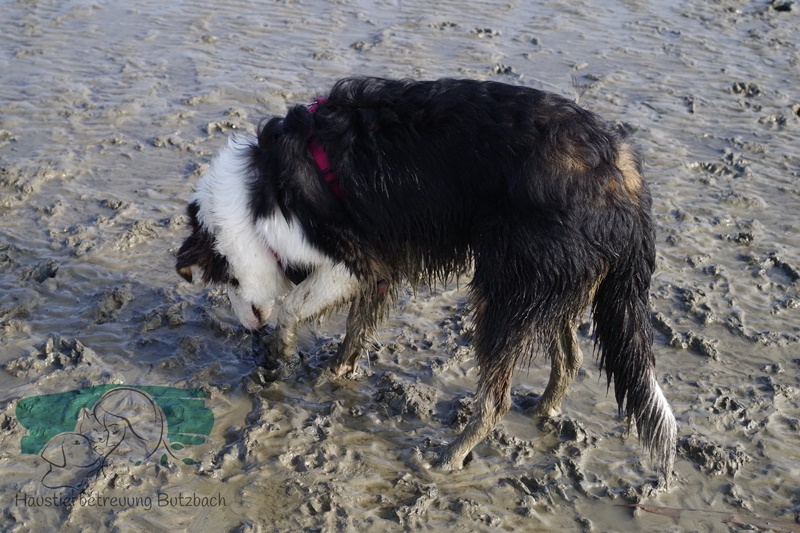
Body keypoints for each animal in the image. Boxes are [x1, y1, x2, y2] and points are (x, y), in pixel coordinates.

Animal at [176, 77, 676, 481]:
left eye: (227, 283)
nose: (247, 328)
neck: (261, 195)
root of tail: (623, 170)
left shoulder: (350, 260)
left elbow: (292, 306)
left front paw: (278, 355)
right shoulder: (378, 264)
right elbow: (356, 325)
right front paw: (335, 372)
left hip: (507, 289)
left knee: (495, 397)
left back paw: (449, 456)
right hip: (554, 284)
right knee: (570, 357)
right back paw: (543, 408)